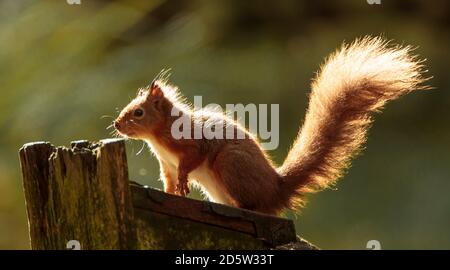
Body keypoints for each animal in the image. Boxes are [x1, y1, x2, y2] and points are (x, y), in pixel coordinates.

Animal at [113, 37, 428, 215]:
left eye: (138, 112)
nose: (117, 124)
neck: (158, 138)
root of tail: (276, 188)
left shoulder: (191, 144)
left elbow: (192, 159)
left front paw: (183, 182)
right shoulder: (165, 163)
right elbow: (167, 180)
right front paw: (172, 192)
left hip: (230, 163)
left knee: (255, 206)